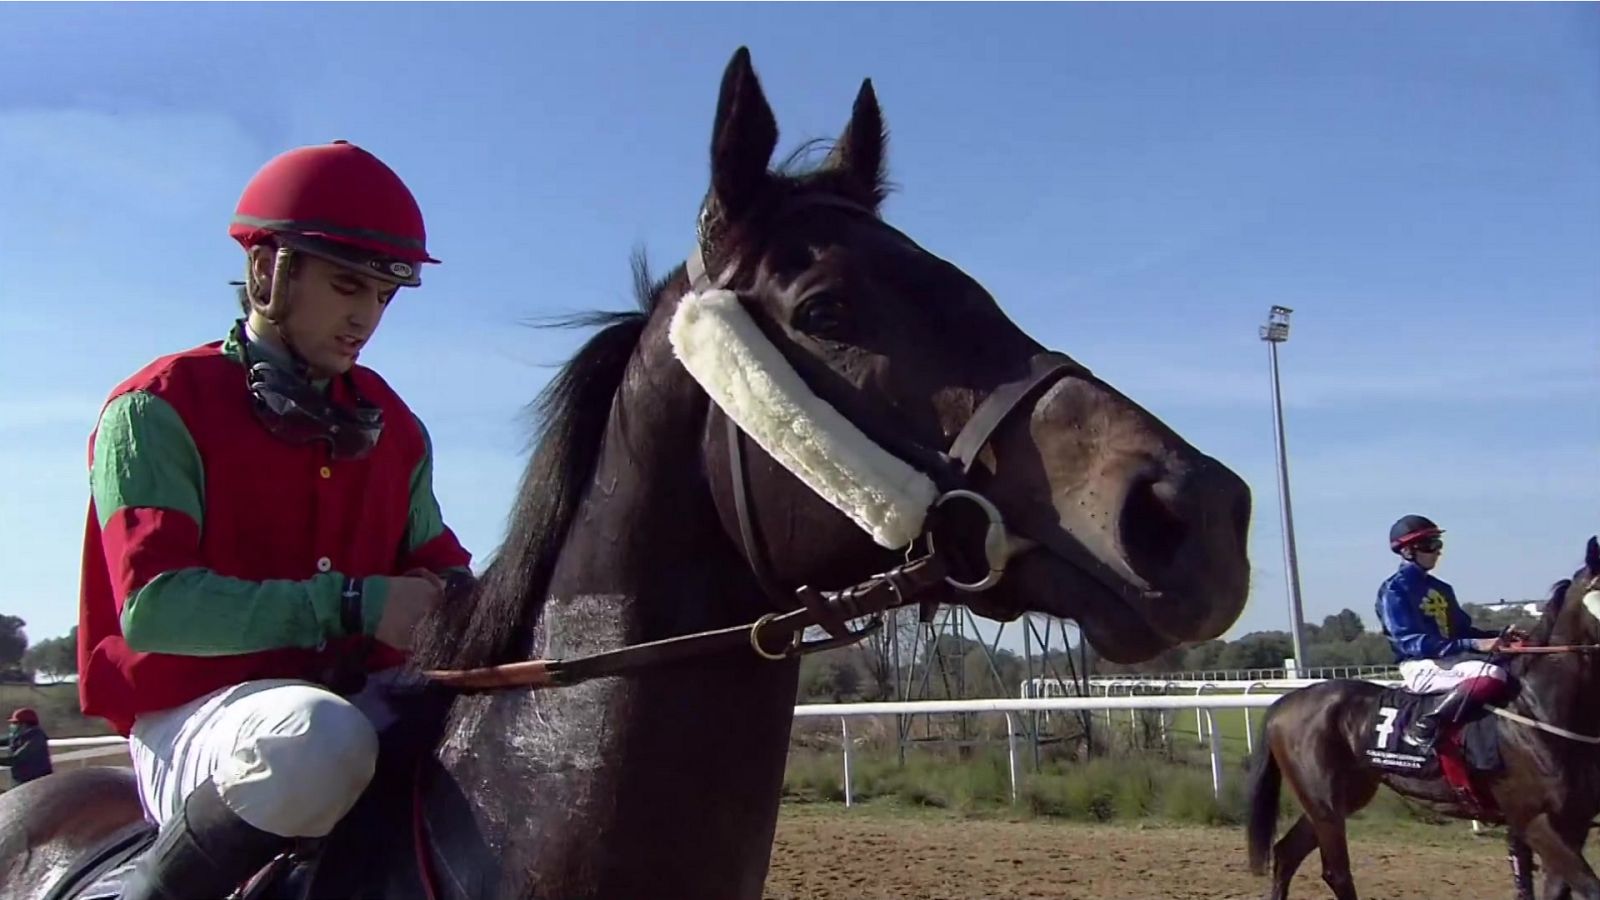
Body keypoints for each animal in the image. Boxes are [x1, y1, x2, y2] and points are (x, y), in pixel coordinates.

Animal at [1245, 535, 1600, 900]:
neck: (1539, 711)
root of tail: (1286, 701)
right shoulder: (1534, 820)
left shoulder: (1574, 821)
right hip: (1323, 801)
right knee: (1335, 872)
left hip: (1349, 793)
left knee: (1287, 853)